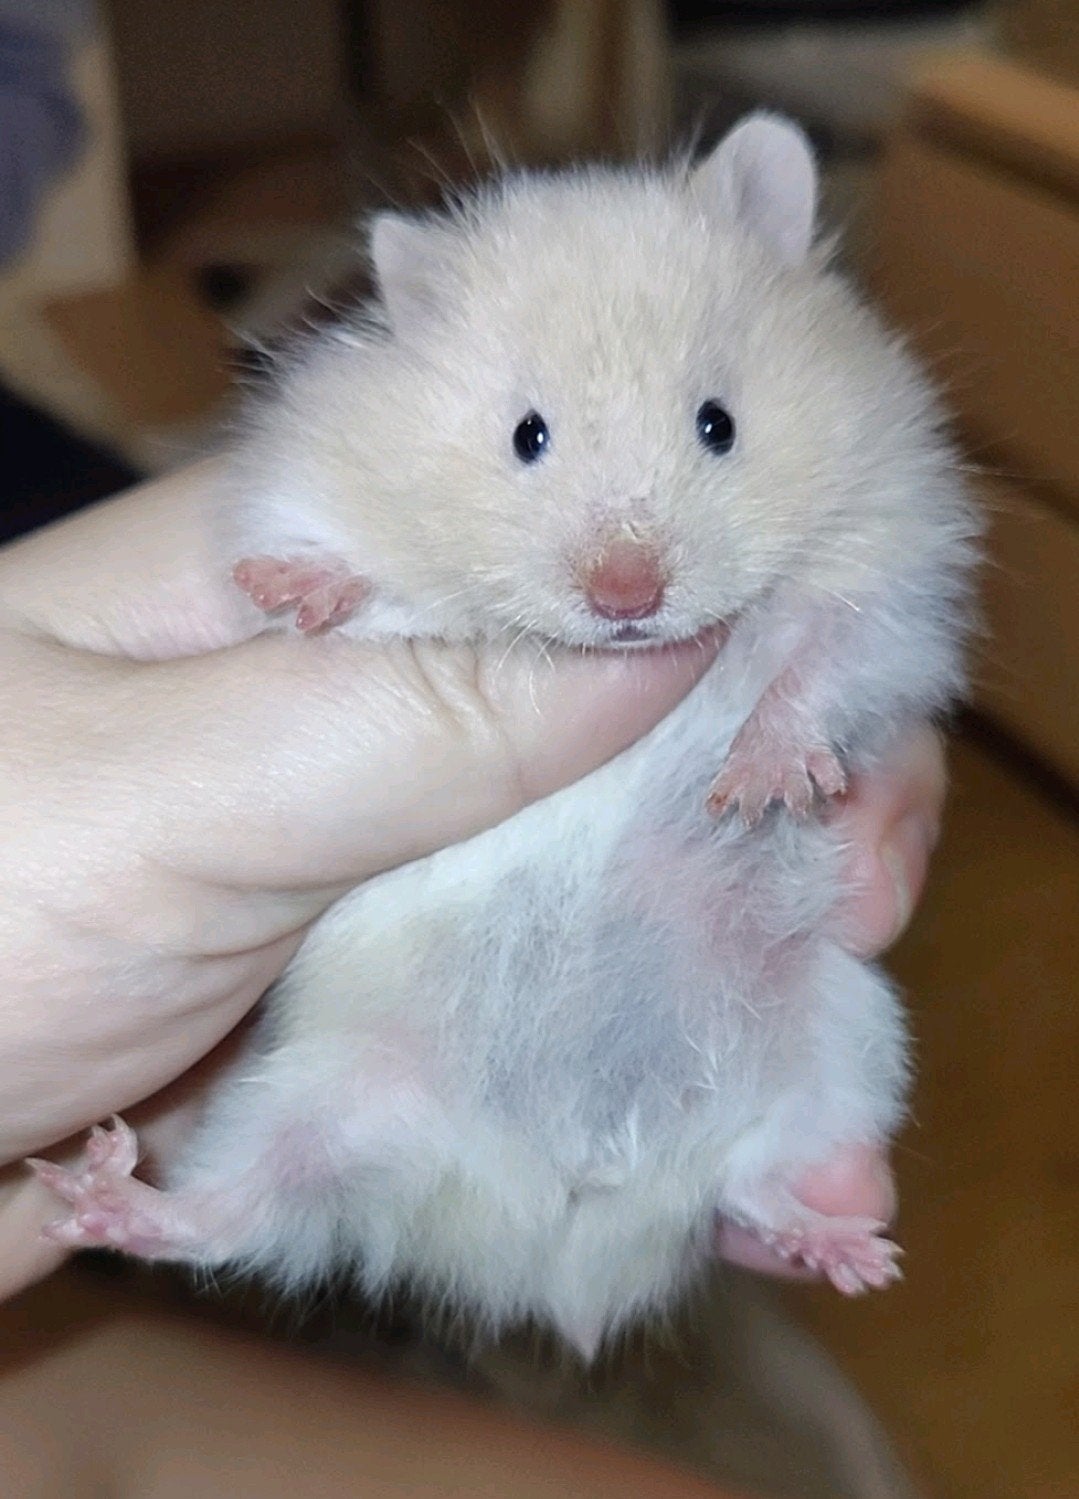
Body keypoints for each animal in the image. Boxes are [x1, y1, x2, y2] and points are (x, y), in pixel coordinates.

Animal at [33, 114, 978, 1357]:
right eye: (525, 436)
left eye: (717, 424)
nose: (627, 596)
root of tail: (557, 1225)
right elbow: (368, 591)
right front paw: (302, 589)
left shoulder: (888, 560)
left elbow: (821, 656)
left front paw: (761, 784)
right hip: (317, 1094)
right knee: (238, 1214)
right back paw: (100, 1191)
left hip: (840, 1044)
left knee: (753, 1179)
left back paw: (847, 1251)